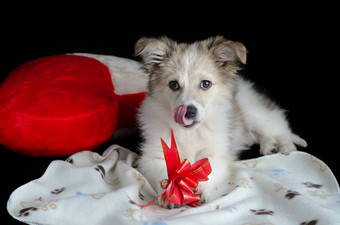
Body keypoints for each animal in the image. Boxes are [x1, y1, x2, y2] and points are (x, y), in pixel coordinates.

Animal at [134, 35, 306, 209]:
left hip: (253, 110)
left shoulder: (216, 153)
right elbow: (164, 173)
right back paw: (269, 145)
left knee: (279, 128)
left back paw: (285, 147)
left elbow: (208, 172)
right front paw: (171, 194)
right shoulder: (153, 156)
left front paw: (201, 190)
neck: (190, 133)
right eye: (173, 84)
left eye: (206, 84)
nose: (189, 112)